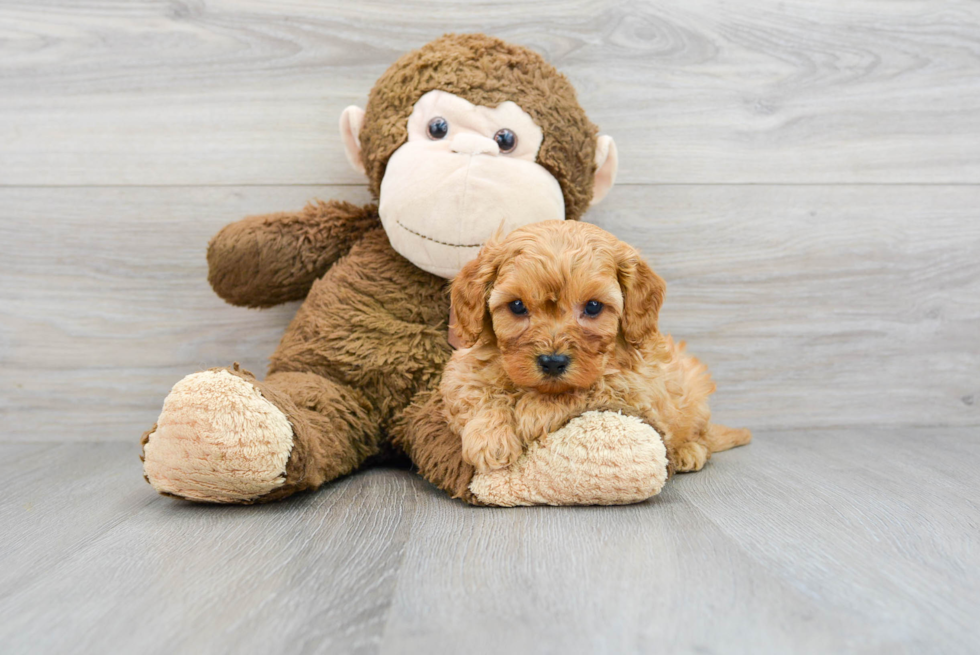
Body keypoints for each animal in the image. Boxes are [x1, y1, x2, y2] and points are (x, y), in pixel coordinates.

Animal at [440, 223, 756, 474]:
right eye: (517, 305)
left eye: (593, 306)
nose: (552, 362)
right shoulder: (461, 372)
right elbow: (477, 393)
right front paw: (490, 437)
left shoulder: (637, 389)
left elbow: (592, 387)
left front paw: (536, 410)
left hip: (693, 389)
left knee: (701, 437)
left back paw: (688, 451)